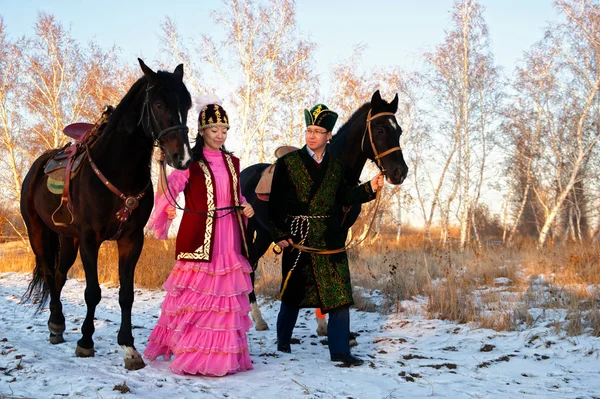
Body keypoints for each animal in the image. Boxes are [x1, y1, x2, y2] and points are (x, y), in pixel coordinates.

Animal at [20, 60, 192, 372]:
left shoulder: (131, 240)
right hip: (37, 232)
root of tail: (37, 167)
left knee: (60, 275)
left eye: (186, 104)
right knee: (50, 274)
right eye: (159, 104)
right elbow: (93, 291)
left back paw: (57, 325)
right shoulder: (91, 239)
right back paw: (56, 323)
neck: (118, 169)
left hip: (68, 239)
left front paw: (129, 348)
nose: (182, 158)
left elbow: (126, 294)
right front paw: (86, 342)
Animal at [239, 90, 408, 332]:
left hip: (264, 233)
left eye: (399, 131)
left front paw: (327, 324)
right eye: (380, 130)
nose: (399, 172)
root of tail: (244, 174)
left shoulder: (340, 232)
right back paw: (257, 318)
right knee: (250, 265)